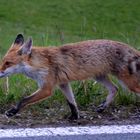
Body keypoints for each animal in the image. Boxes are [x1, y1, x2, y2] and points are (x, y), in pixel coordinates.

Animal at [0, 34, 140, 119]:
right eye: (2, 62)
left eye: (8, 63)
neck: (41, 64)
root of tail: (130, 48)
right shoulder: (63, 83)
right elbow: (72, 103)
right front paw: (74, 117)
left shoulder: (47, 88)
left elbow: (23, 100)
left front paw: (12, 112)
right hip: (99, 77)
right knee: (114, 89)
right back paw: (102, 107)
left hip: (128, 82)